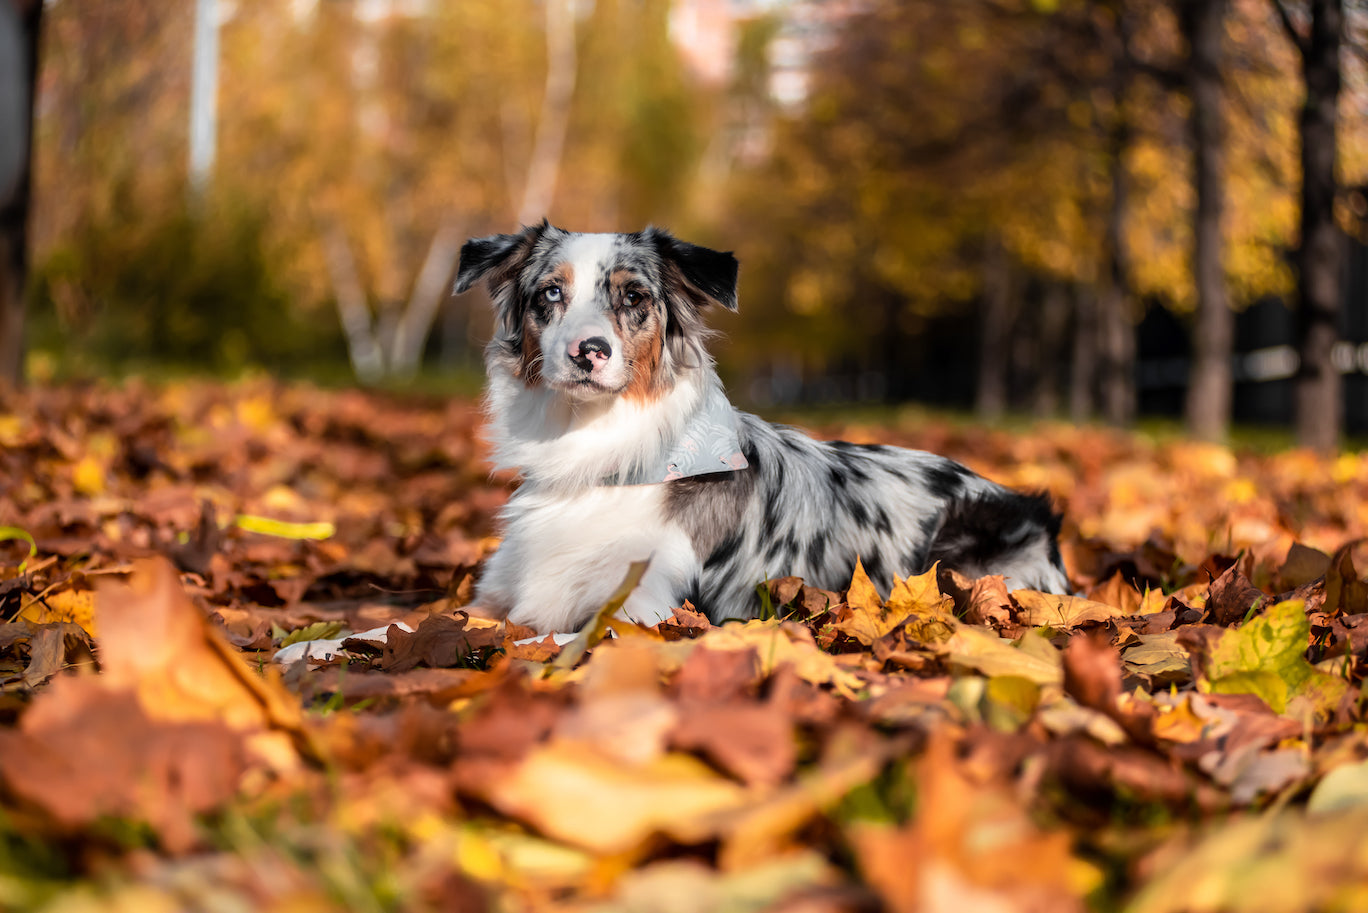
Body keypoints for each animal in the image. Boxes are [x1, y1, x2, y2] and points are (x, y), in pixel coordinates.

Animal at [454, 221, 1072, 635]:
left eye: (634, 296)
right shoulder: (493, 595)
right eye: (551, 292)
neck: (601, 454)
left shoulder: (649, 612)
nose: (589, 351)